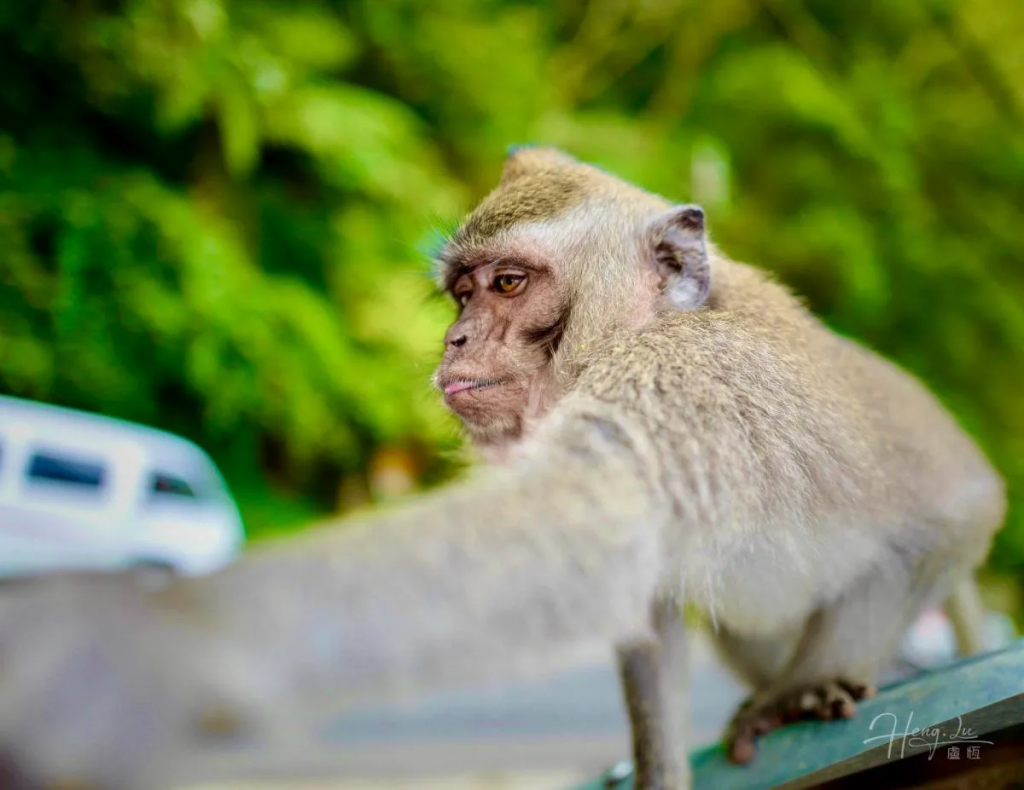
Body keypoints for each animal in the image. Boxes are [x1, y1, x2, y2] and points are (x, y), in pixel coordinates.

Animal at [0, 148, 1005, 790]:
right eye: (459, 293)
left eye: (509, 284)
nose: (454, 340)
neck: (662, 323)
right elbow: (630, 585)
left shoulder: (687, 384)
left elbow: (581, 523)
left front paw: (159, 642)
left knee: (949, 517)